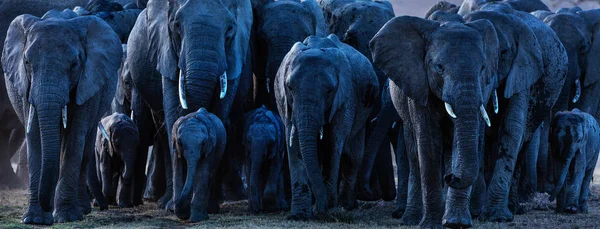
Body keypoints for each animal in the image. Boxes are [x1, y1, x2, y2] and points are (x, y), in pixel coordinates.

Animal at [127, 0, 252, 209]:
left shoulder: (235, 55)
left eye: (230, 30)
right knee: (163, 132)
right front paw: (175, 207)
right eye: (176, 26)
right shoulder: (166, 52)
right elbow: (172, 117)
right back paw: (166, 202)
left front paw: (208, 207)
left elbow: (220, 114)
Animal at [274, 34, 378, 220]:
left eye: (330, 90)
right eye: (289, 87)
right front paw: (299, 215)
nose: (323, 209)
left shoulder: (345, 97)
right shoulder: (287, 103)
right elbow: (294, 145)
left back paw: (346, 206)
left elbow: (333, 143)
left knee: (353, 157)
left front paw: (325, 209)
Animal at [466, 2, 568, 222]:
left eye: (504, 53)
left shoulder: (525, 69)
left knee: (523, 141)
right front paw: (477, 212)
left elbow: (512, 127)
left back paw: (513, 207)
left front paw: (496, 217)